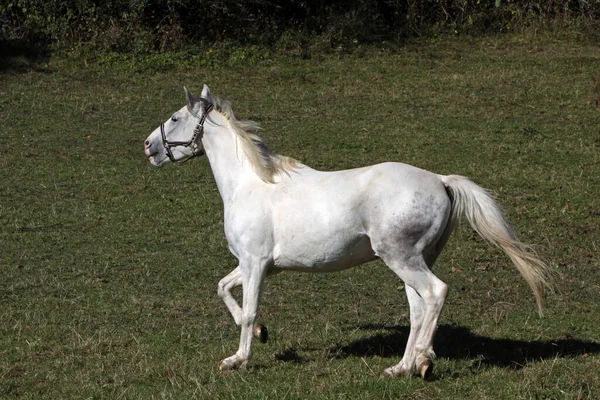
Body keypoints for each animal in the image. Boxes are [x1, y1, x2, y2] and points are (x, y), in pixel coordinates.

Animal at [144, 84, 548, 378]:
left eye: (175, 117)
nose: (148, 146)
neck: (250, 184)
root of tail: (440, 180)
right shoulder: (254, 264)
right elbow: (223, 289)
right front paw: (262, 334)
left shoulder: (256, 263)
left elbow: (249, 310)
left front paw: (237, 359)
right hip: (416, 260)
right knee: (419, 308)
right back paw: (401, 366)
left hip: (401, 258)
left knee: (437, 293)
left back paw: (422, 360)